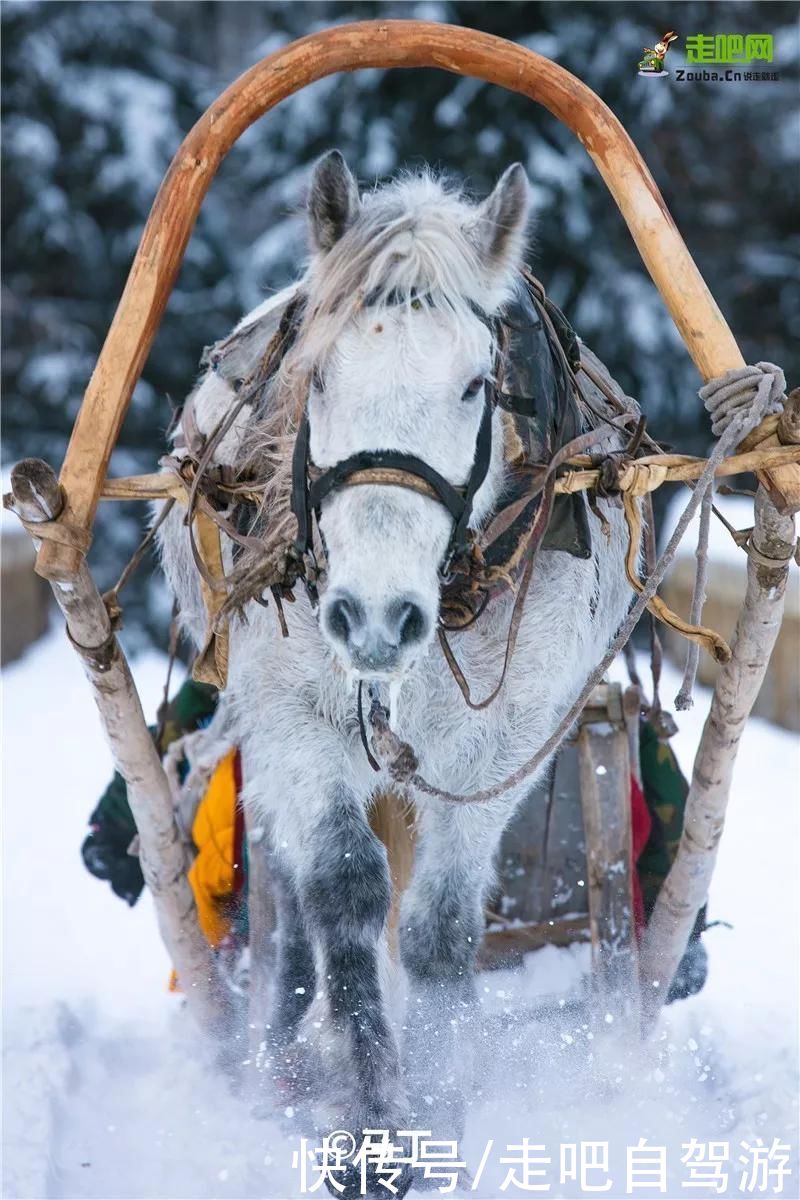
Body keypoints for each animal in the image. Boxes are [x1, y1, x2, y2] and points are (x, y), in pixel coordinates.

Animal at [159, 154, 638, 1195]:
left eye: (476, 386)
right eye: (318, 374)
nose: (376, 618)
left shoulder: (499, 751)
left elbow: (439, 933)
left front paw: (441, 1115)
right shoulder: (297, 721)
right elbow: (343, 892)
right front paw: (371, 1131)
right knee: (292, 895)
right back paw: (284, 1053)